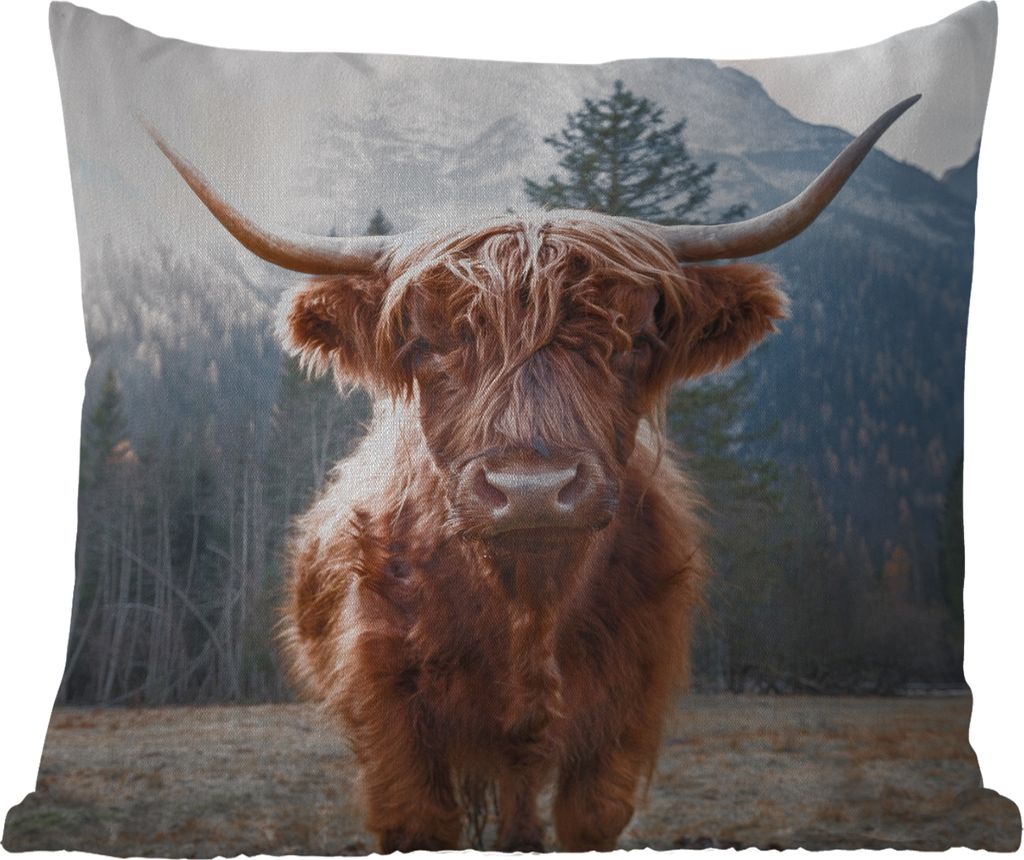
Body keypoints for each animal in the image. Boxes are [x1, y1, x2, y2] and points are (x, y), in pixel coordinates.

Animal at [147, 94, 918, 852]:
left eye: (634, 340)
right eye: (427, 343)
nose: (531, 493)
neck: (527, 608)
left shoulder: (623, 721)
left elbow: (587, 818)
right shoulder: (391, 723)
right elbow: (419, 819)